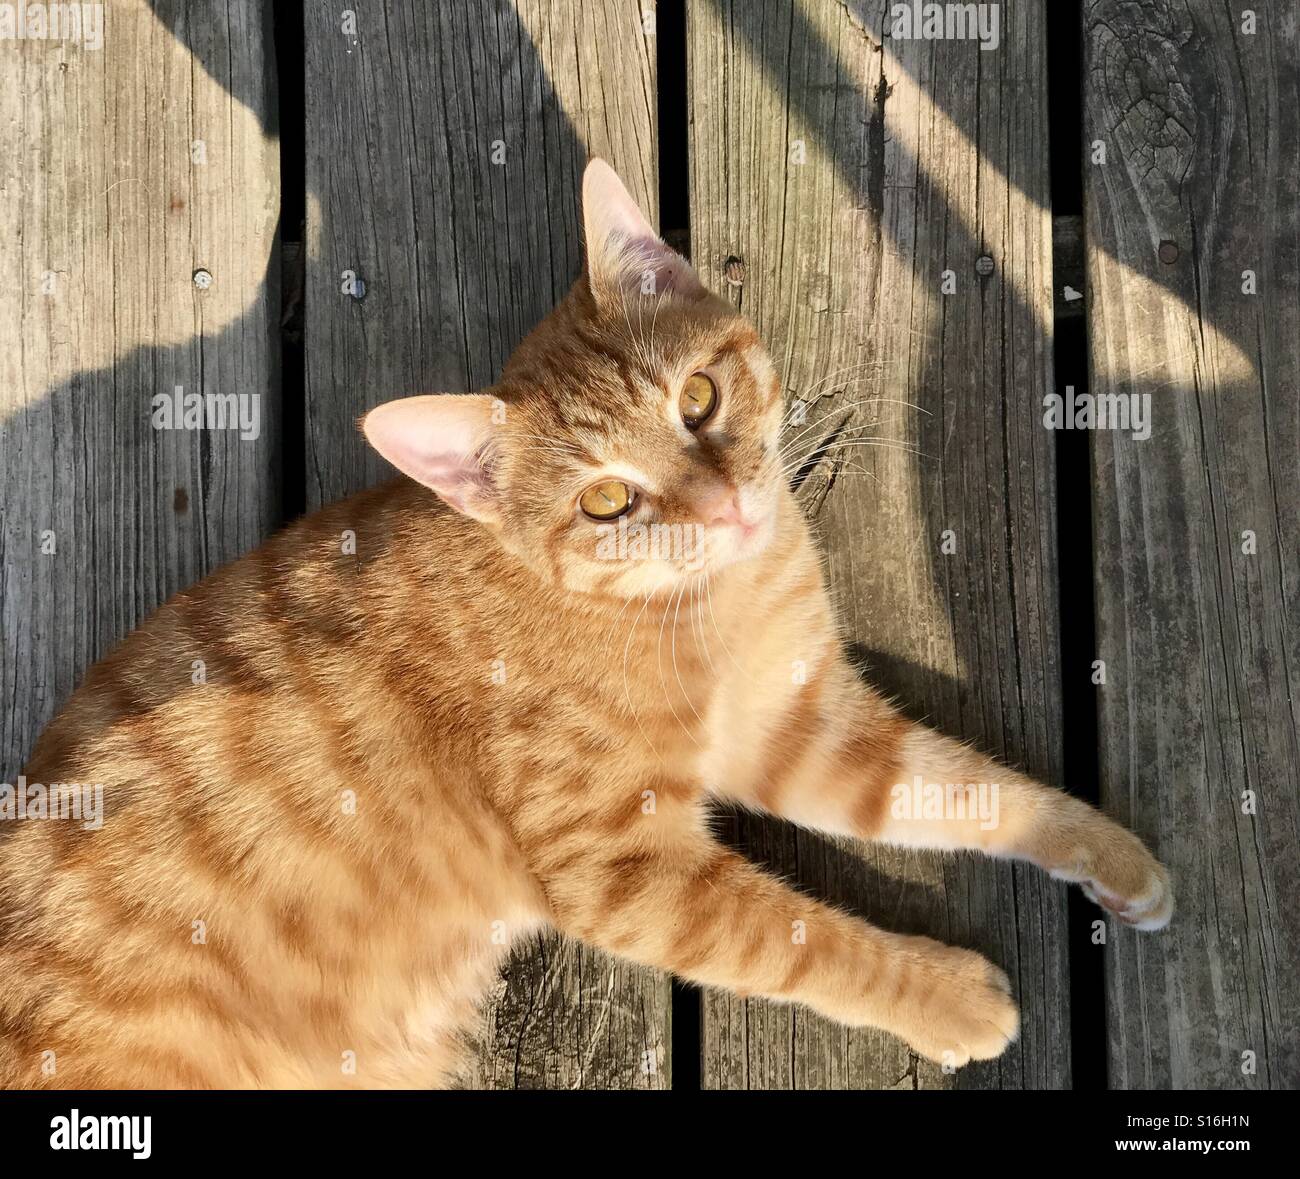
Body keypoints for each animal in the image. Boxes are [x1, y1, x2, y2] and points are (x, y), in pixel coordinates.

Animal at [0, 161, 1175, 1091]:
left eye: (698, 398)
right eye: (607, 501)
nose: (724, 506)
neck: (701, 604)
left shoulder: (799, 730)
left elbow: (964, 788)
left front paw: (1106, 852)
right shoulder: (629, 871)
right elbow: (808, 940)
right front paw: (944, 995)